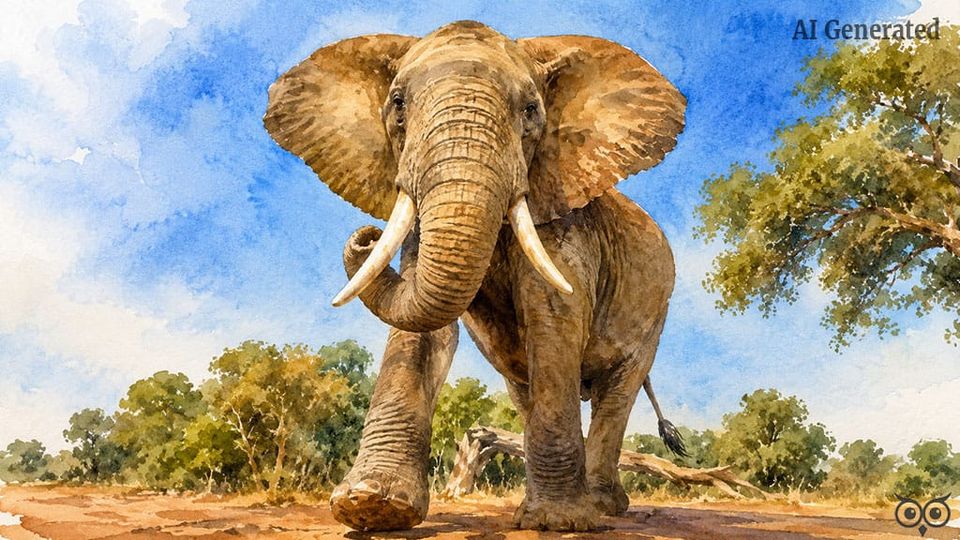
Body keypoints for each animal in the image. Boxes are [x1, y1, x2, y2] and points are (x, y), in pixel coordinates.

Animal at [264, 20, 686, 532]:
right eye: (398, 102)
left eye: (530, 111)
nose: (365, 236)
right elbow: (424, 332)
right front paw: (371, 507)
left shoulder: (566, 220)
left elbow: (553, 317)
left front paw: (558, 522)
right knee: (526, 389)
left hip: (656, 310)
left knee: (617, 391)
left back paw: (602, 506)